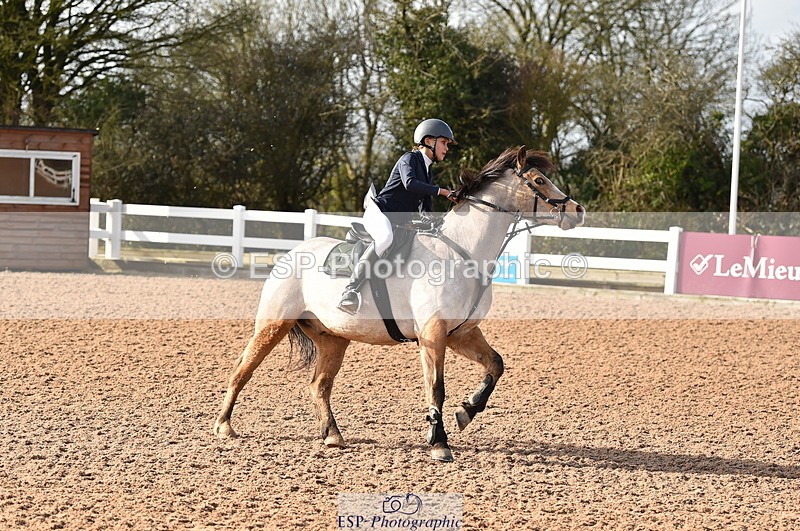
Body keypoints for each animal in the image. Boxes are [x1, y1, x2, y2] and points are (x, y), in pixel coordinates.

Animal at [213, 146, 585, 462]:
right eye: (539, 180)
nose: (577, 211)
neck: (463, 252)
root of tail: (289, 254)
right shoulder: (433, 334)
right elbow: (436, 388)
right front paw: (439, 443)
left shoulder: (461, 333)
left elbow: (495, 365)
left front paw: (466, 412)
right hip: (274, 324)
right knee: (243, 369)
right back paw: (224, 425)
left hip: (333, 338)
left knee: (319, 385)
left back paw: (332, 435)